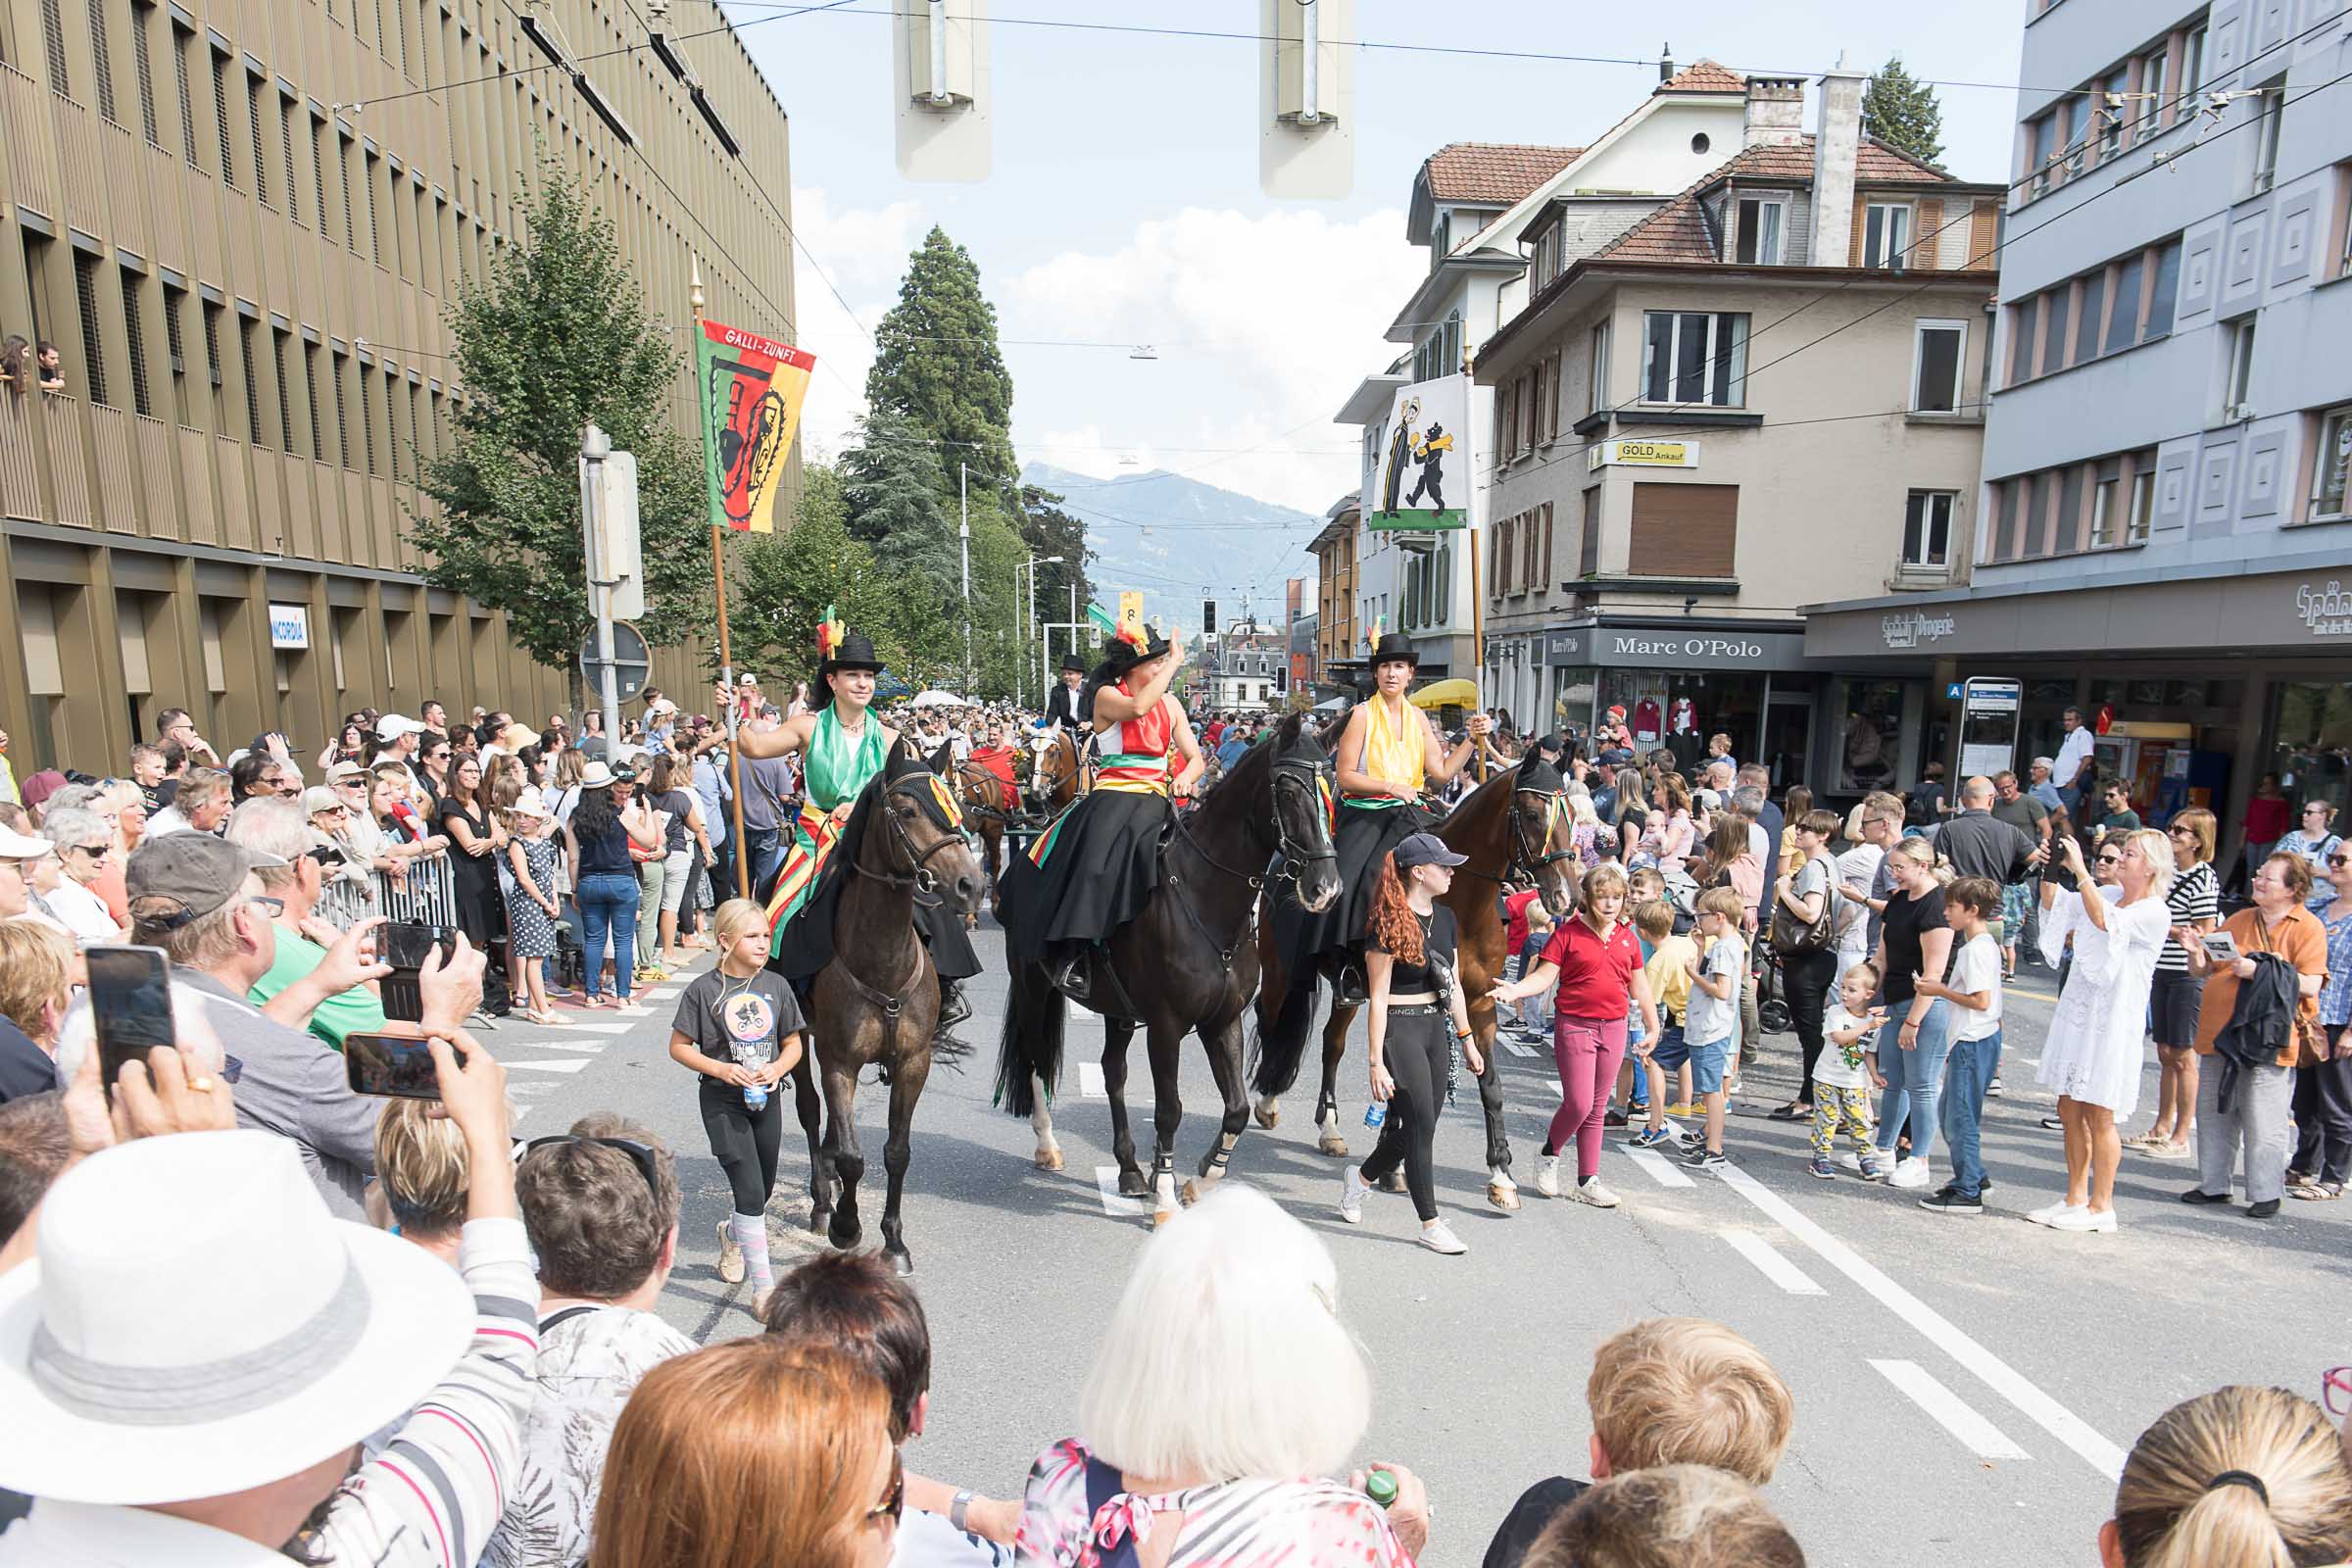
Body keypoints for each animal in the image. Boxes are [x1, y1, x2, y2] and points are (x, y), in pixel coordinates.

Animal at [790, 738, 973, 1278]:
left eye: (957, 805)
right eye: (909, 811)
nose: (971, 884)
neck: (882, 959)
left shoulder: (914, 1062)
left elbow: (896, 1152)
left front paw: (894, 1242)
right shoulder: (839, 1061)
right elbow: (854, 1157)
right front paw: (846, 1226)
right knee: (810, 1111)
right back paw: (821, 1200)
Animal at [992, 714, 1345, 1222]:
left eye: (1334, 789)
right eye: (1289, 790)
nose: (1326, 889)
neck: (1205, 896)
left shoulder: (1223, 1020)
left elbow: (1236, 1108)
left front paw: (1199, 1180)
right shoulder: (1165, 1025)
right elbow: (1168, 1109)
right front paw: (1164, 1194)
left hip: (1117, 1010)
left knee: (1112, 1073)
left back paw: (1128, 1169)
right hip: (1032, 987)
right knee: (1038, 1061)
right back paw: (1048, 1146)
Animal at [1250, 757, 1580, 1212]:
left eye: (1572, 816)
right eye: (1532, 814)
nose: (1567, 896)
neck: (1459, 901)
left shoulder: (1479, 1003)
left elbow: (1490, 1085)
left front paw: (1500, 1175)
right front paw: (1395, 1163)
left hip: (1349, 991)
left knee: (1332, 1043)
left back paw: (1329, 1127)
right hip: (1281, 968)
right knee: (1272, 1022)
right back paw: (1267, 1100)